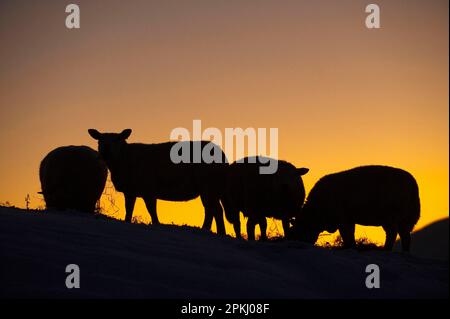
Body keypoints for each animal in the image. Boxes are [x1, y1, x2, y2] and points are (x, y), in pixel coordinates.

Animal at [87, 129, 229, 236]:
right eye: (100, 140)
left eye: (118, 140)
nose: (105, 152)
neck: (124, 160)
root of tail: (223, 156)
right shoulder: (130, 191)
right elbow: (129, 210)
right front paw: (127, 222)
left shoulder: (148, 189)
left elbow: (151, 210)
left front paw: (156, 224)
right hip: (211, 189)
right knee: (212, 210)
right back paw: (212, 230)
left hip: (209, 186)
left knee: (215, 210)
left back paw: (214, 231)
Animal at [290, 165, 420, 252]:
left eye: (299, 229)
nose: (296, 241)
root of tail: (413, 186)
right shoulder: (349, 219)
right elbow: (350, 235)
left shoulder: (342, 220)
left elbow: (346, 235)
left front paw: (348, 247)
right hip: (404, 220)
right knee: (405, 236)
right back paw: (404, 252)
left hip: (390, 217)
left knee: (392, 234)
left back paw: (385, 249)